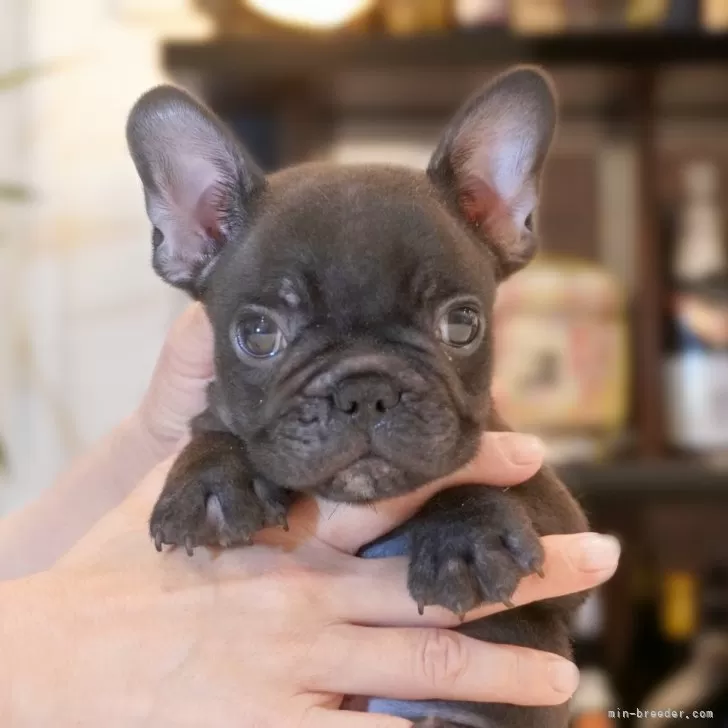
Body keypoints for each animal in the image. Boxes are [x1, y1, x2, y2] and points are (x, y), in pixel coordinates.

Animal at [128, 65, 588, 724]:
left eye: (462, 323)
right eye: (258, 333)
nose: (366, 390)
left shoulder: (564, 532)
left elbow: (478, 479)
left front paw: (466, 538)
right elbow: (213, 428)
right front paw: (210, 483)